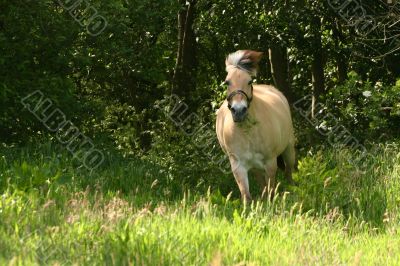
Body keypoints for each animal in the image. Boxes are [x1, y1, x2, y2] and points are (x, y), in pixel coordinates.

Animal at [216, 50, 296, 203]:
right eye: (227, 82)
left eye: (249, 81)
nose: (239, 111)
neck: (248, 131)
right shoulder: (238, 165)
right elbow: (246, 195)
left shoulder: (270, 162)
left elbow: (271, 189)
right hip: (254, 166)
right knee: (261, 179)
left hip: (288, 149)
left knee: (289, 170)